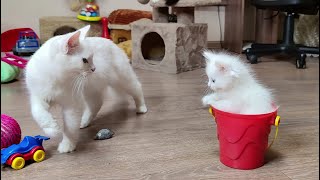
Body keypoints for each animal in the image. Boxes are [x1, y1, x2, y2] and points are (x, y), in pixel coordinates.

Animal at [25, 24, 148, 153]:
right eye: (84, 60)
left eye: (92, 58)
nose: (94, 69)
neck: (56, 78)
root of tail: (112, 43)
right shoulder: (38, 98)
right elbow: (39, 114)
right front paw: (52, 129)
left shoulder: (72, 106)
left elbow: (70, 128)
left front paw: (67, 145)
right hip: (91, 90)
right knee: (96, 105)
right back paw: (84, 122)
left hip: (122, 80)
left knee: (137, 88)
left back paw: (141, 108)